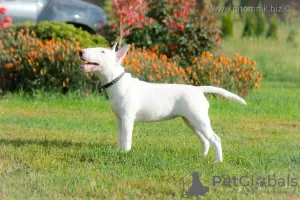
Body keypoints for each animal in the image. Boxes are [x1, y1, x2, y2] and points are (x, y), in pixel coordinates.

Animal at [79, 43, 246, 162]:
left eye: (102, 51)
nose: (80, 51)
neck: (117, 82)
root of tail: (198, 89)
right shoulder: (119, 119)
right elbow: (120, 137)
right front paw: (118, 151)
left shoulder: (127, 119)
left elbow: (127, 138)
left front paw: (125, 154)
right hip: (191, 121)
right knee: (205, 140)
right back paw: (202, 156)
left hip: (199, 120)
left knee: (215, 139)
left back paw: (218, 161)